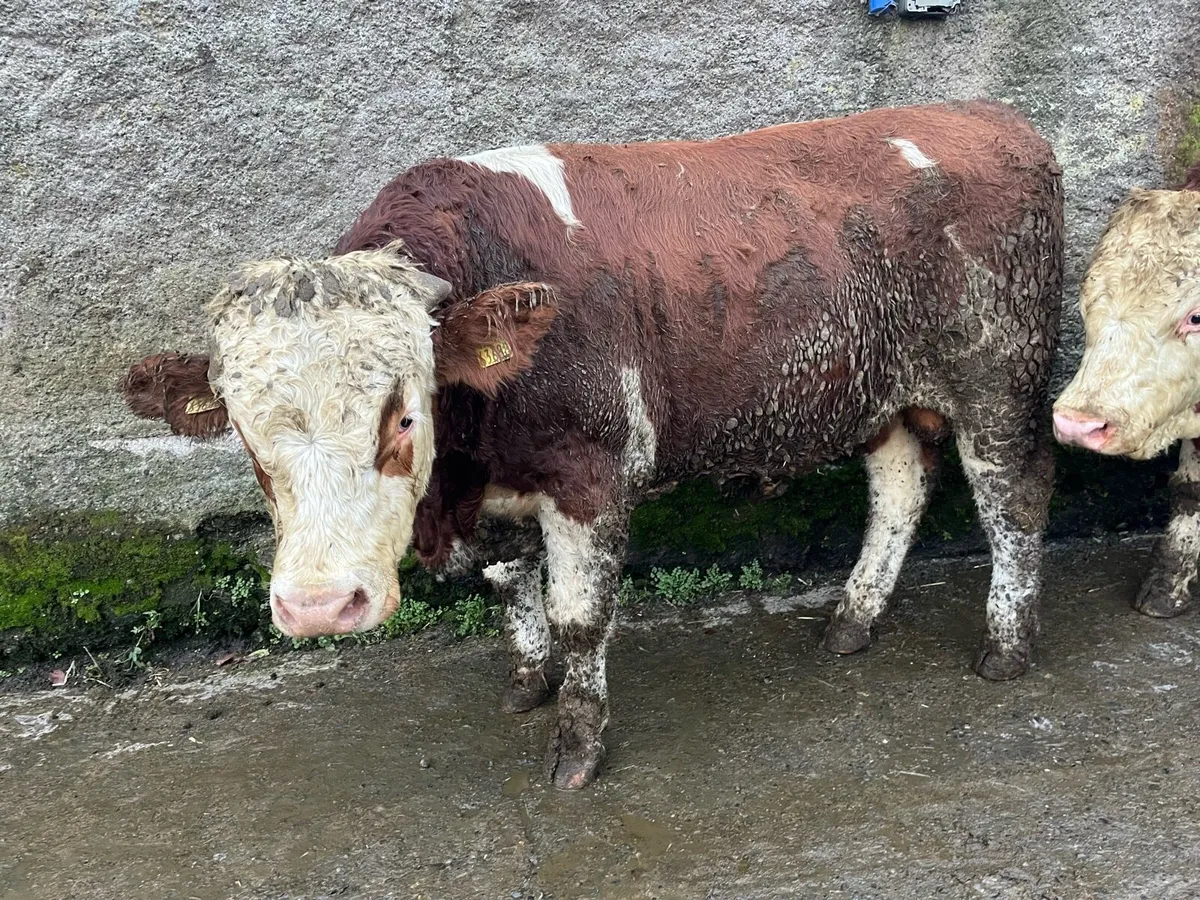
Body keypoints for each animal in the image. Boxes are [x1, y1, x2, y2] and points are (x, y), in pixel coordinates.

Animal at [123, 101, 1064, 789]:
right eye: (245, 434)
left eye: (402, 415)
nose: (320, 607)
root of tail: (993, 117)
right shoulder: (501, 484)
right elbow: (511, 584)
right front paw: (528, 683)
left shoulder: (593, 473)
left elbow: (579, 617)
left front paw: (576, 747)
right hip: (883, 394)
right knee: (901, 485)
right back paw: (853, 619)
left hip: (998, 378)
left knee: (1013, 496)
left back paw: (1006, 647)